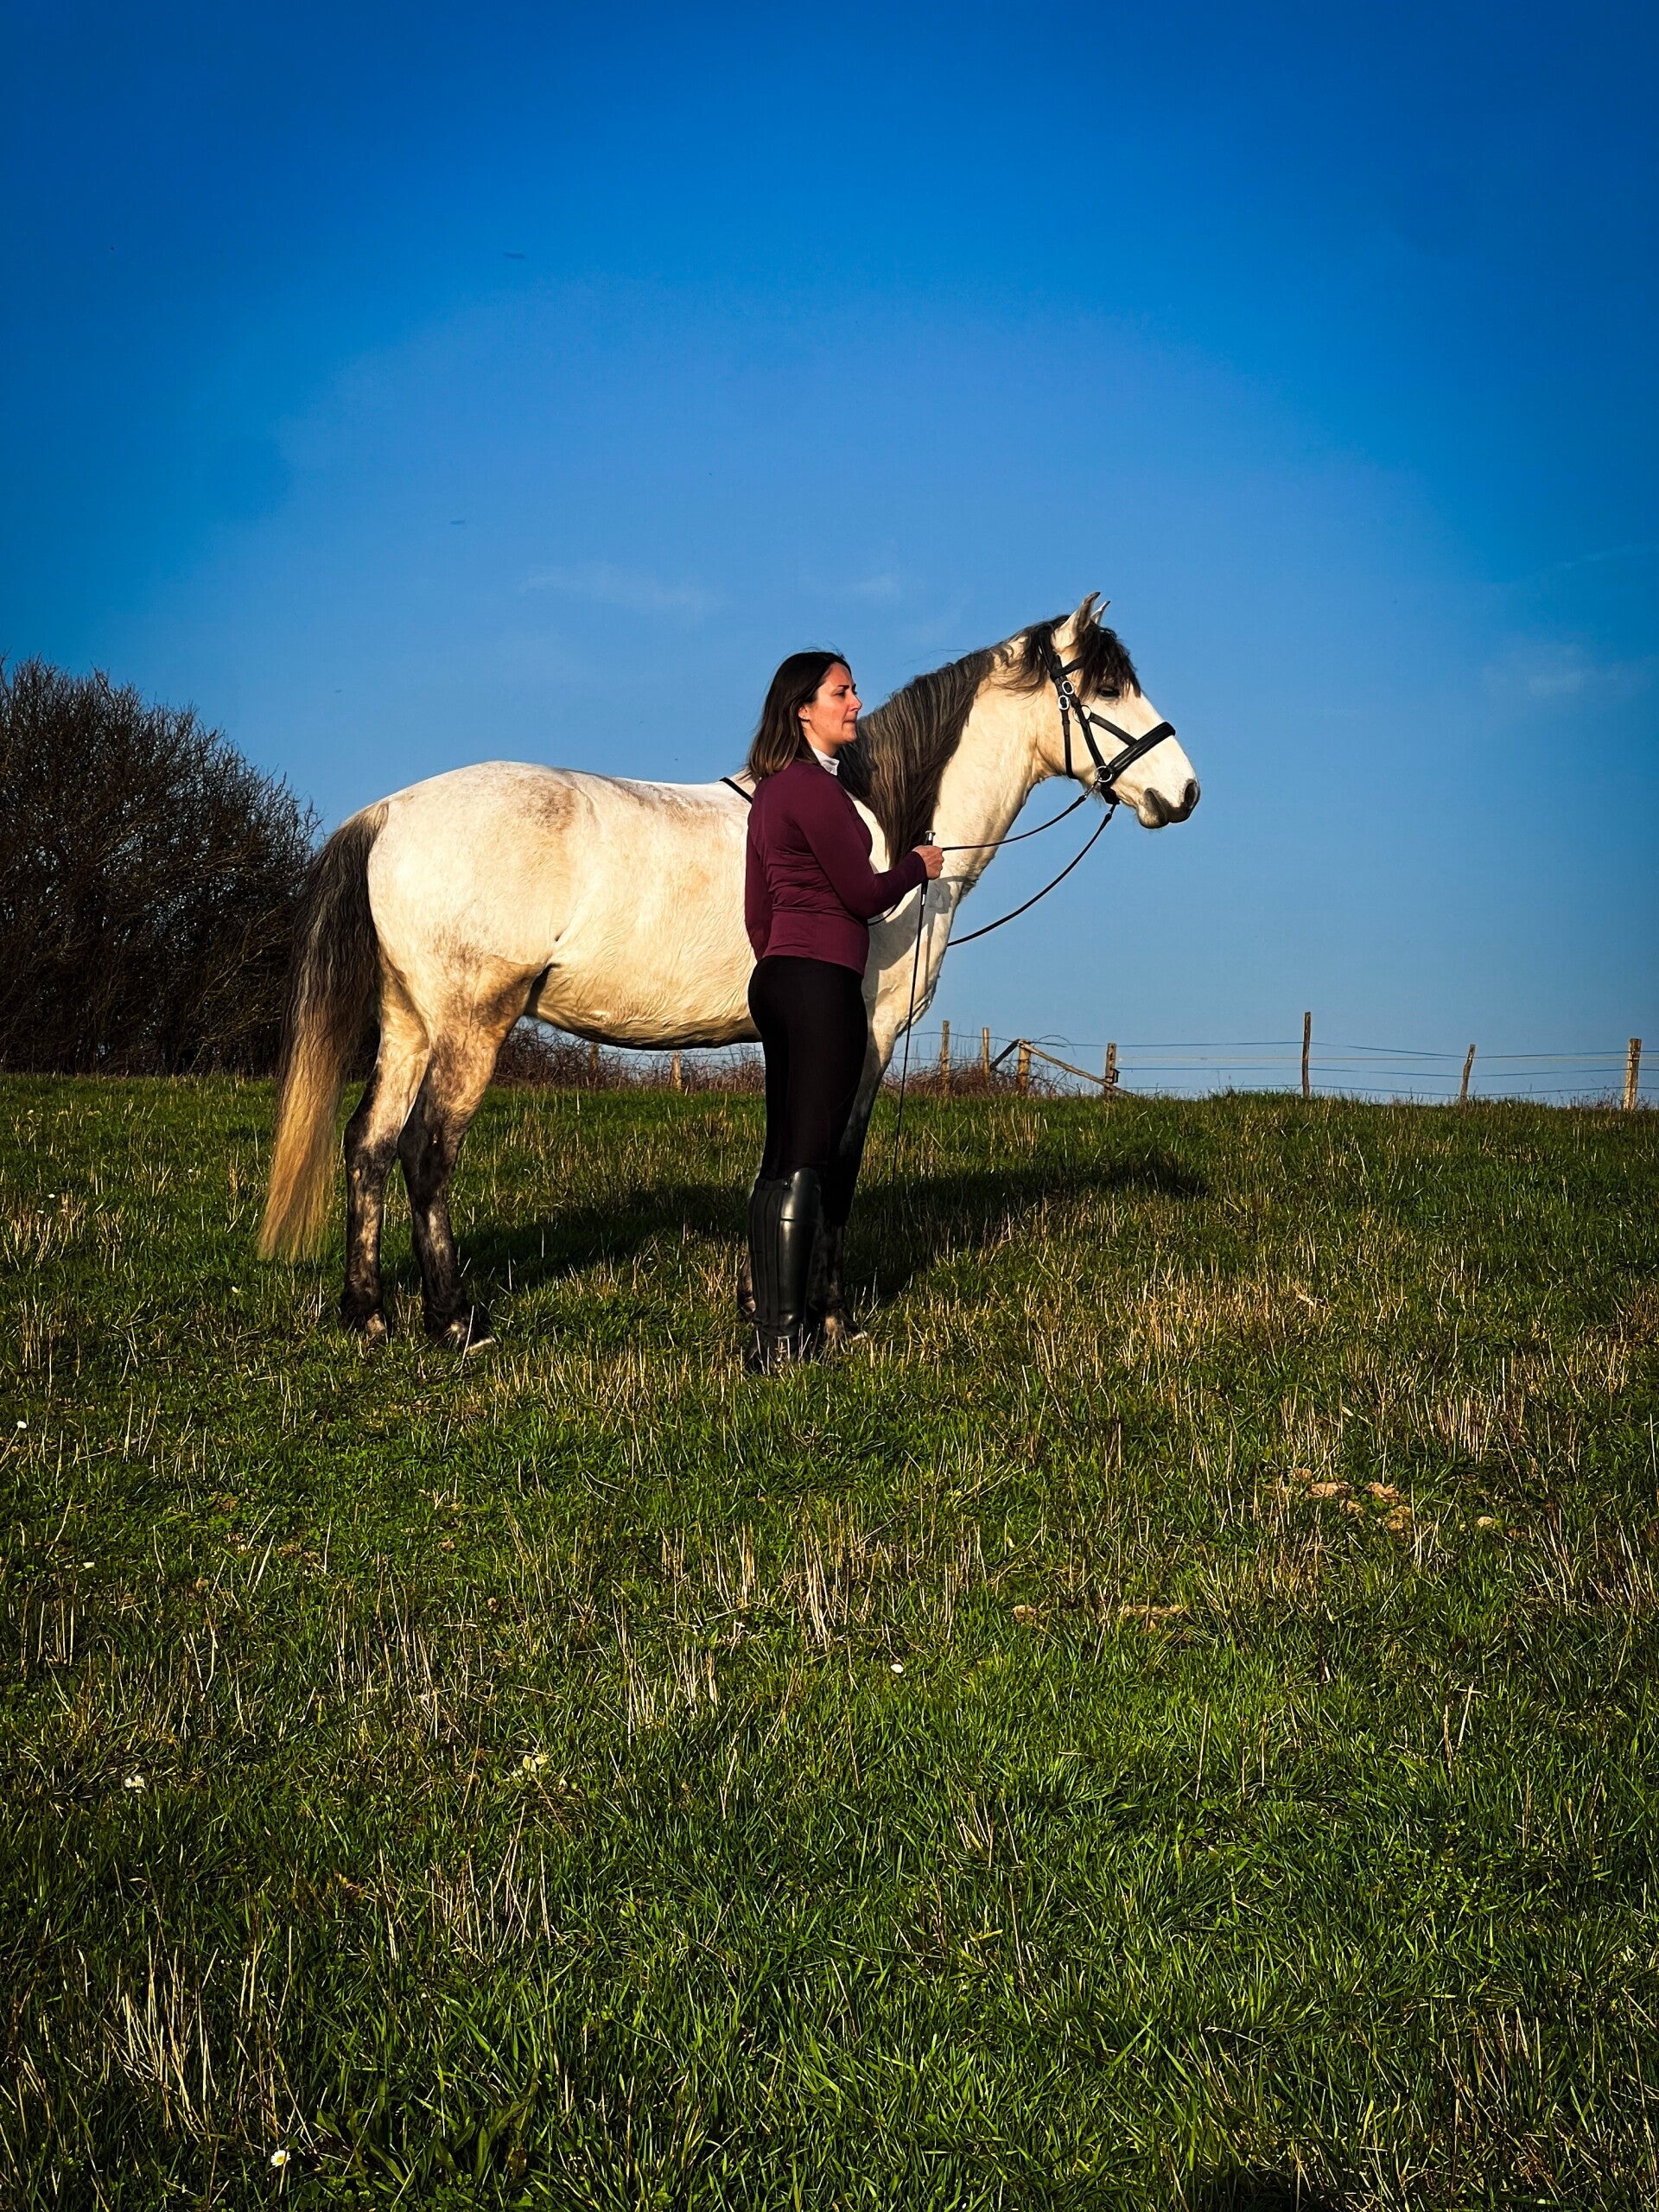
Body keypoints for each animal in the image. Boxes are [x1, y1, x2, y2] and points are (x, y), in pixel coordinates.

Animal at [258, 595, 1199, 1347]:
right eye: (1106, 686)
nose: (1185, 791)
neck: (882, 822)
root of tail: (390, 812)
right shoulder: (866, 1035)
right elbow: (836, 1167)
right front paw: (830, 1317)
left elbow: (788, 1159)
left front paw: (764, 1304)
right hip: (470, 1025)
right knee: (426, 1153)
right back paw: (455, 1321)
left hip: (409, 1024)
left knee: (367, 1146)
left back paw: (369, 1315)